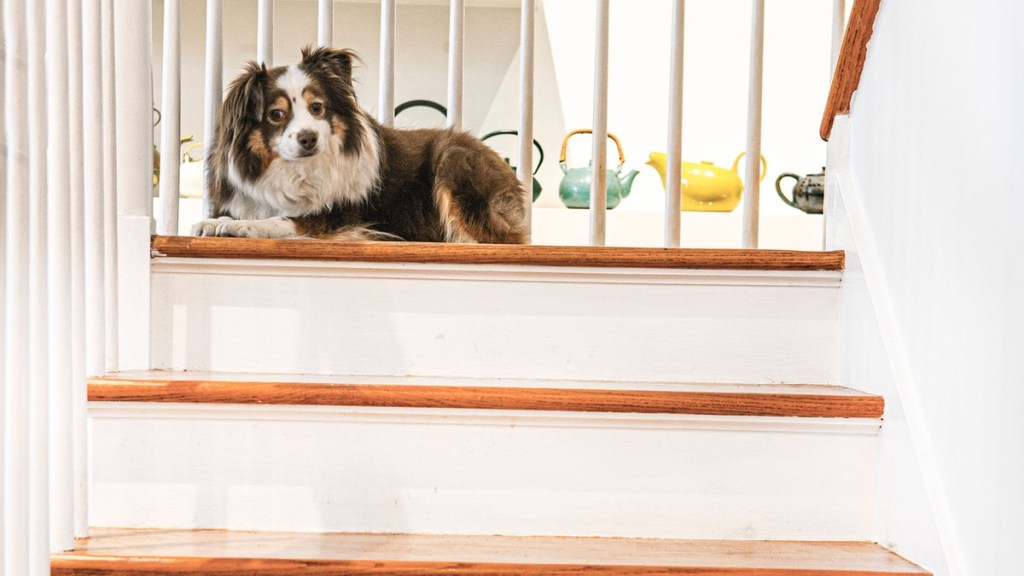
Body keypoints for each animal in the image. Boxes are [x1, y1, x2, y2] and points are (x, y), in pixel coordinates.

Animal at [192, 45, 528, 241]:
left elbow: (284, 219)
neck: (296, 171)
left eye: (317, 107)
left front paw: (241, 227)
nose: (308, 138)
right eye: (276, 114)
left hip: (453, 160)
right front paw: (214, 221)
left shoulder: (340, 216)